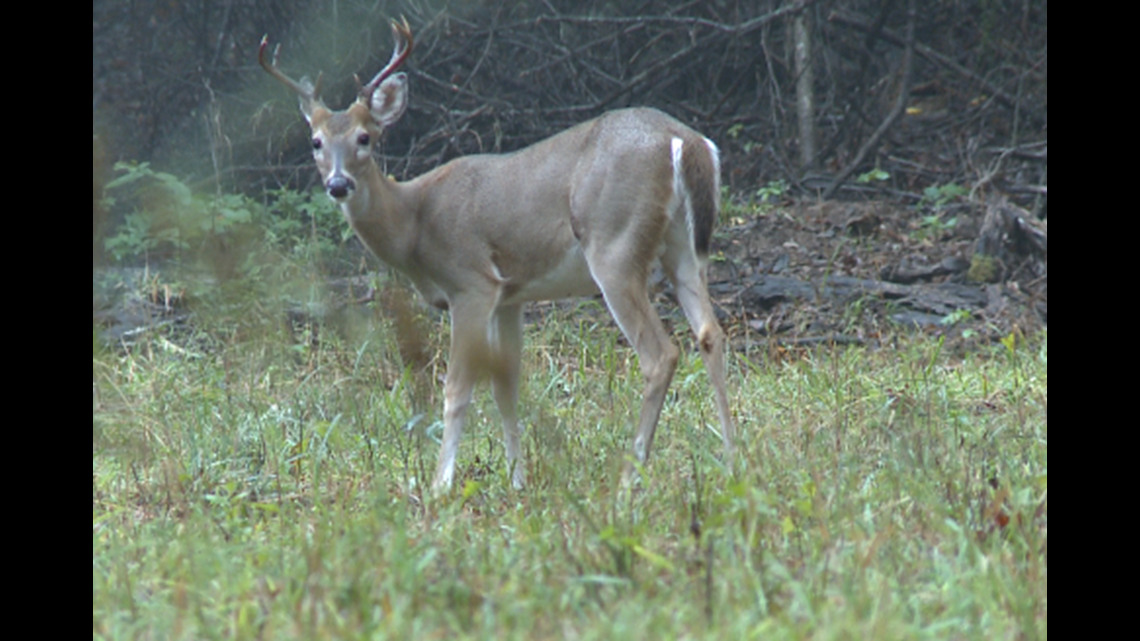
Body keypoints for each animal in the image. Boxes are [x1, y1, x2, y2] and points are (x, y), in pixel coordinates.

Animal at [260, 19, 735, 493]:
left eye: (365, 137)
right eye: (316, 141)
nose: (338, 184)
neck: (413, 223)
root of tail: (685, 141)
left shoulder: (472, 283)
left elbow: (457, 388)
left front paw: (441, 484)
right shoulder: (511, 296)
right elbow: (506, 387)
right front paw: (517, 480)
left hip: (613, 246)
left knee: (660, 355)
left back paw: (628, 480)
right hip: (683, 246)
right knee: (710, 332)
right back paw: (732, 459)